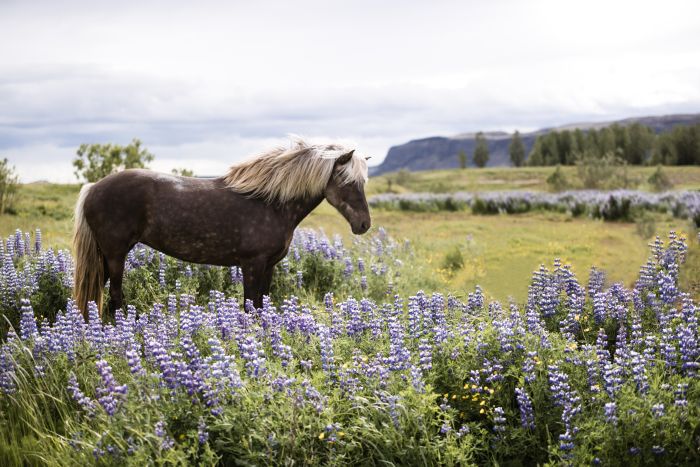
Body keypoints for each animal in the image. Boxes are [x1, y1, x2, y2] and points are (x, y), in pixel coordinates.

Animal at [72, 138, 372, 322]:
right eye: (347, 181)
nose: (364, 225)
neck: (269, 202)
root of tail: (93, 188)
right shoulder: (252, 264)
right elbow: (251, 305)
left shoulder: (269, 266)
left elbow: (261, 304)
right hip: (115, 256)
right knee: (114, 297)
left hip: (106, 258)